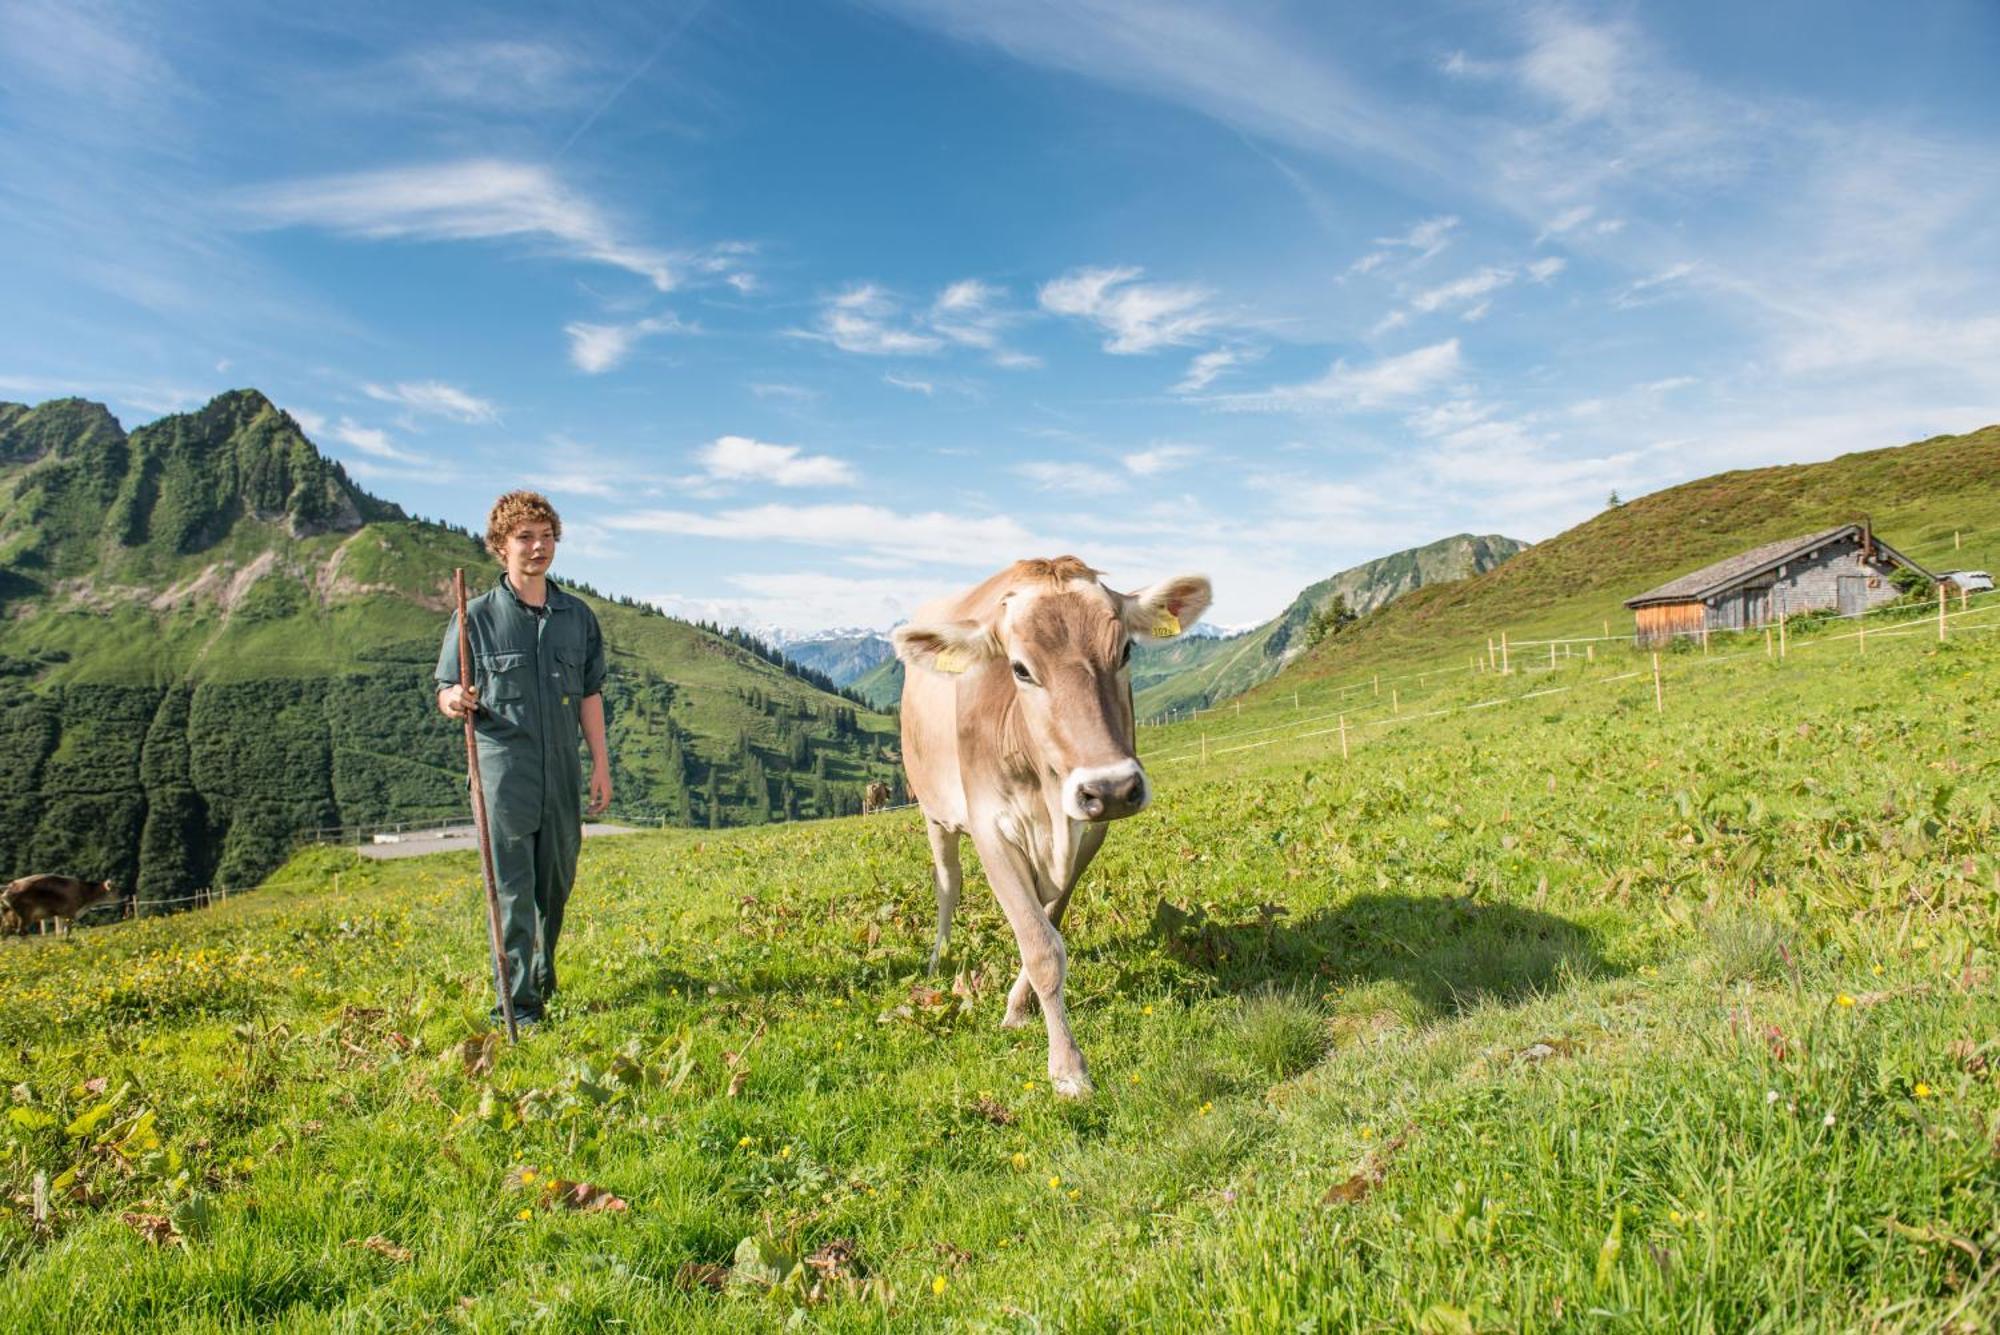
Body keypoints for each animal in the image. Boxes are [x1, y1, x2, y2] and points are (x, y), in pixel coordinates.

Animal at [900, 551, 1208, 1095]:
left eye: (1125, 649)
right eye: (1020, 669)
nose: (1111, 788)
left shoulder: (1090, 831)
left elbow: (1048, 921)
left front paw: (1018, 1007)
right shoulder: (989, 827)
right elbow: (1040, 944)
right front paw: (1068, 1068)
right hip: (933, 811)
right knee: (947, 883)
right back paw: (939, 957)